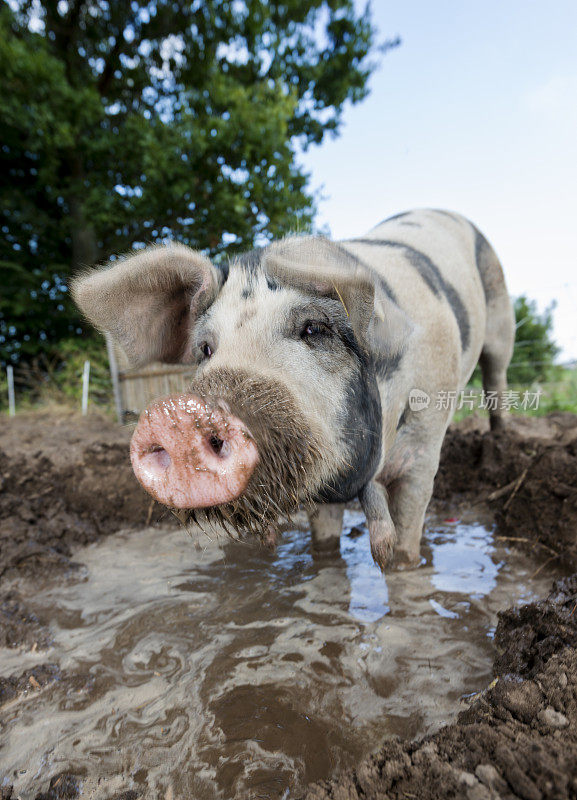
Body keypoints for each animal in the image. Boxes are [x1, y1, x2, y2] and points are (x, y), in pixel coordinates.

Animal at [72, 206, 512, 568]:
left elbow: (406, 541)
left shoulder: (423, 443)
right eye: (206, 349)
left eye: (315, 328)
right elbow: (325, 545)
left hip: (500, 320)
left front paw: (404, 570)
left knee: (496, 378)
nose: (177, 414)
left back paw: (502, 442)